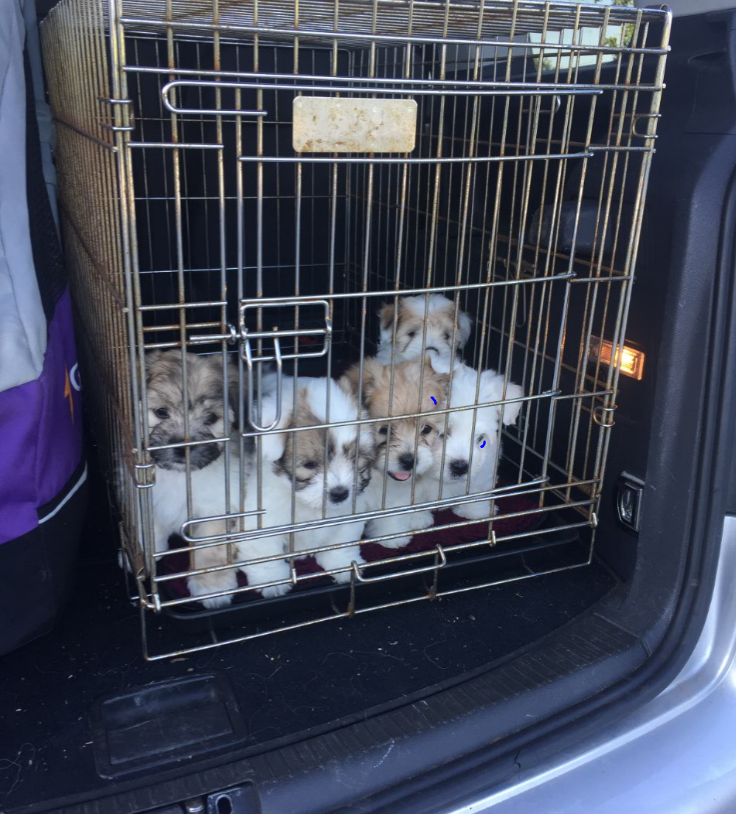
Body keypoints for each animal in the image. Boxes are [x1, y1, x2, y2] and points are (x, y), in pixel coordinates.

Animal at [145, 349, 248, 608]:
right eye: (161, 412)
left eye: (211, 418)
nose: (183, 448)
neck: (182, 477)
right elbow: (152, 522)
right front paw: (149, 548)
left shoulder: (217, 507)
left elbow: (209, 549)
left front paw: (212, 586)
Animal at [234, 376, 376, 595]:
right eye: (310, 464)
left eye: (354, 459)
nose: (339, 493)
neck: (305, 503)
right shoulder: (261, 520)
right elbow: (265, 550)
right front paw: (272, 579)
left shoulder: (349, 513)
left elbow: (341, 540)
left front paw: (342, 563)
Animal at [424, 361, 523, 521]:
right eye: (440, 433)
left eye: (480, 438)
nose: (460, 467)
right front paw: (416, 520)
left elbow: (476, 488)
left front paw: (475, 510)